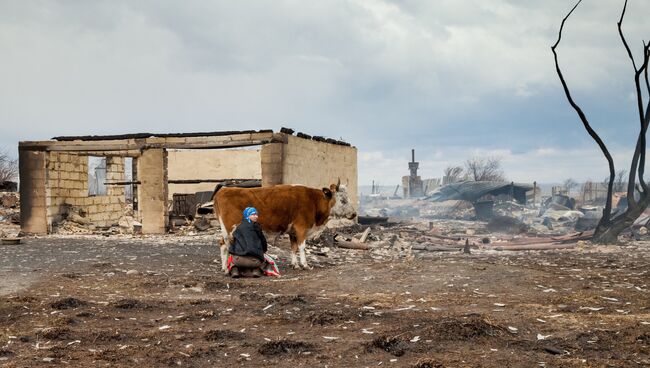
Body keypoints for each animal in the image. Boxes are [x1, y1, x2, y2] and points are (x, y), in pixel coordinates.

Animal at [211, 181, 344, 270]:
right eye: (343, 200)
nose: (350, 214)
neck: (314, 200)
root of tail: (224, 190)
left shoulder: (293, 231)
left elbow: (294, 248)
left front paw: (295, 264)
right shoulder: (301, 227)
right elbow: (302, 247)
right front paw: (305, 265)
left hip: (226, 230)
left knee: (222, 244)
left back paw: (224, 268)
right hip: (231, 229)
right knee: (228, 245)